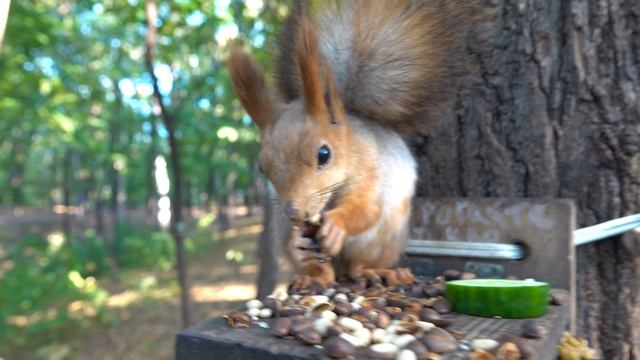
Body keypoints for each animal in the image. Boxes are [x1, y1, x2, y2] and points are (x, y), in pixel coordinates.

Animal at [228, 0, 472, 286]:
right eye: (262, 167)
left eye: (324, 154)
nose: (294, 213)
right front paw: (298, 242)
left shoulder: (371, 169)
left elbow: (367, 209)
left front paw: (336, 226)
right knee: (323, 272)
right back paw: (312, 276)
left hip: (383, 238)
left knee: (357, 266)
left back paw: (378, 271)